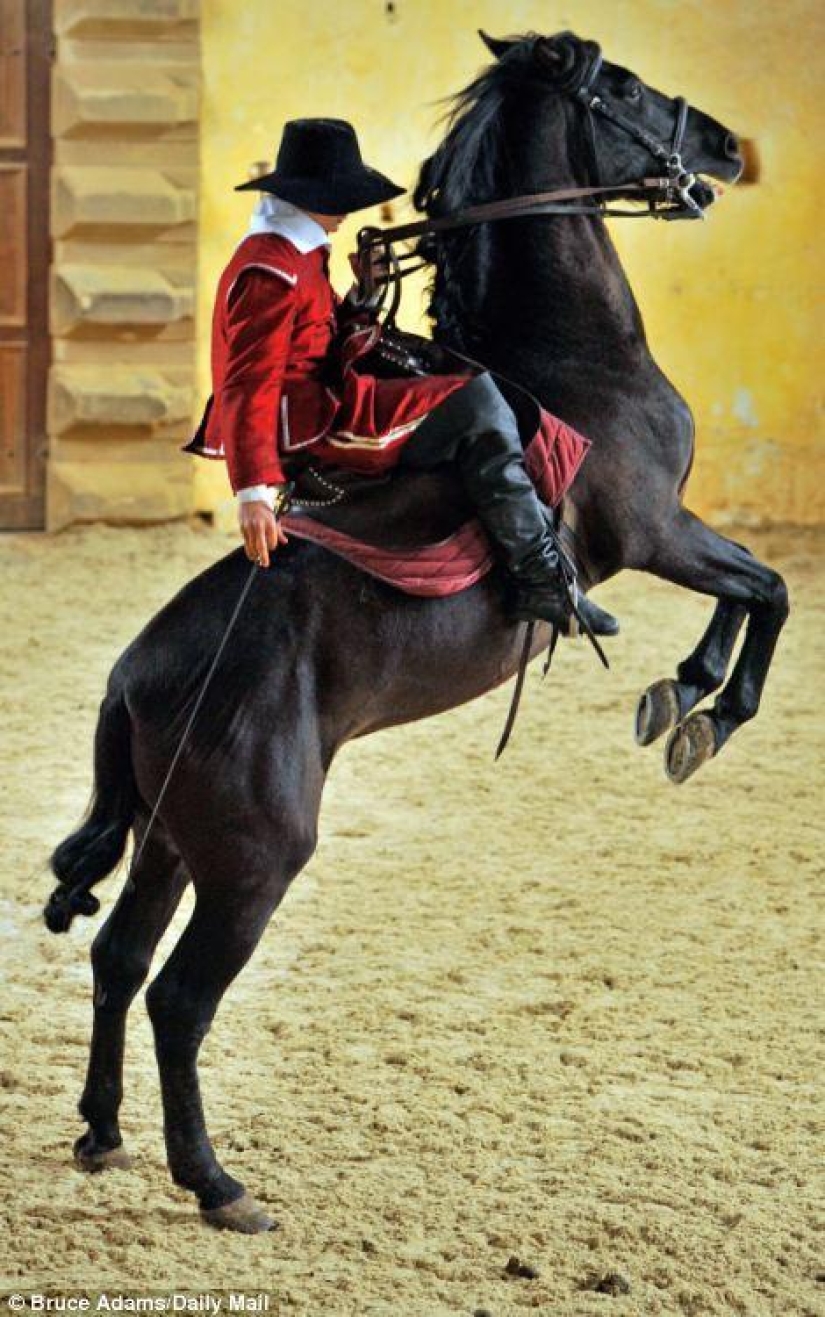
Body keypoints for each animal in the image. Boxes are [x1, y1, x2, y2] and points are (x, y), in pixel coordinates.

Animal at [44, 29, 787, 1233]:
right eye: (622, 87)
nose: (722, 148)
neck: (566, 355)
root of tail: (134, 676)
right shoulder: (658, 531)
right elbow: (767, 588)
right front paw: (699, 706)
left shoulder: (668, 535)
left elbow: (756, 593)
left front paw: (684, 693)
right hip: (254, 858)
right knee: (178, 998)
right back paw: (215, 1184)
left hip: (169, 836)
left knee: (116, 958)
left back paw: (103, 1132)